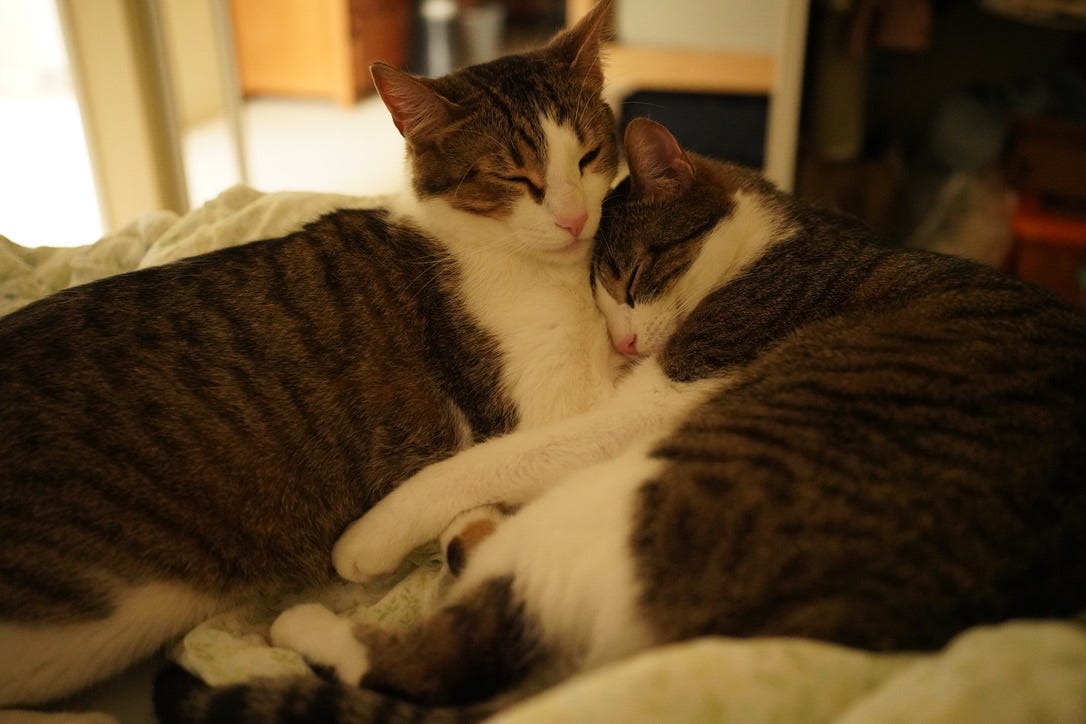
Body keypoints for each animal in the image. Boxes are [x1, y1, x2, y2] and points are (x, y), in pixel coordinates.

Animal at [153, 118, 1086, 724]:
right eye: (599, 298)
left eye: (633, 275)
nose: (626, 340)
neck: (770, 246)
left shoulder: (654, 401)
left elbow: (495, 454)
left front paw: (373, 533)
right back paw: (464, 539)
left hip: (633, 498)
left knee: (435, 659)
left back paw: (310, 620)